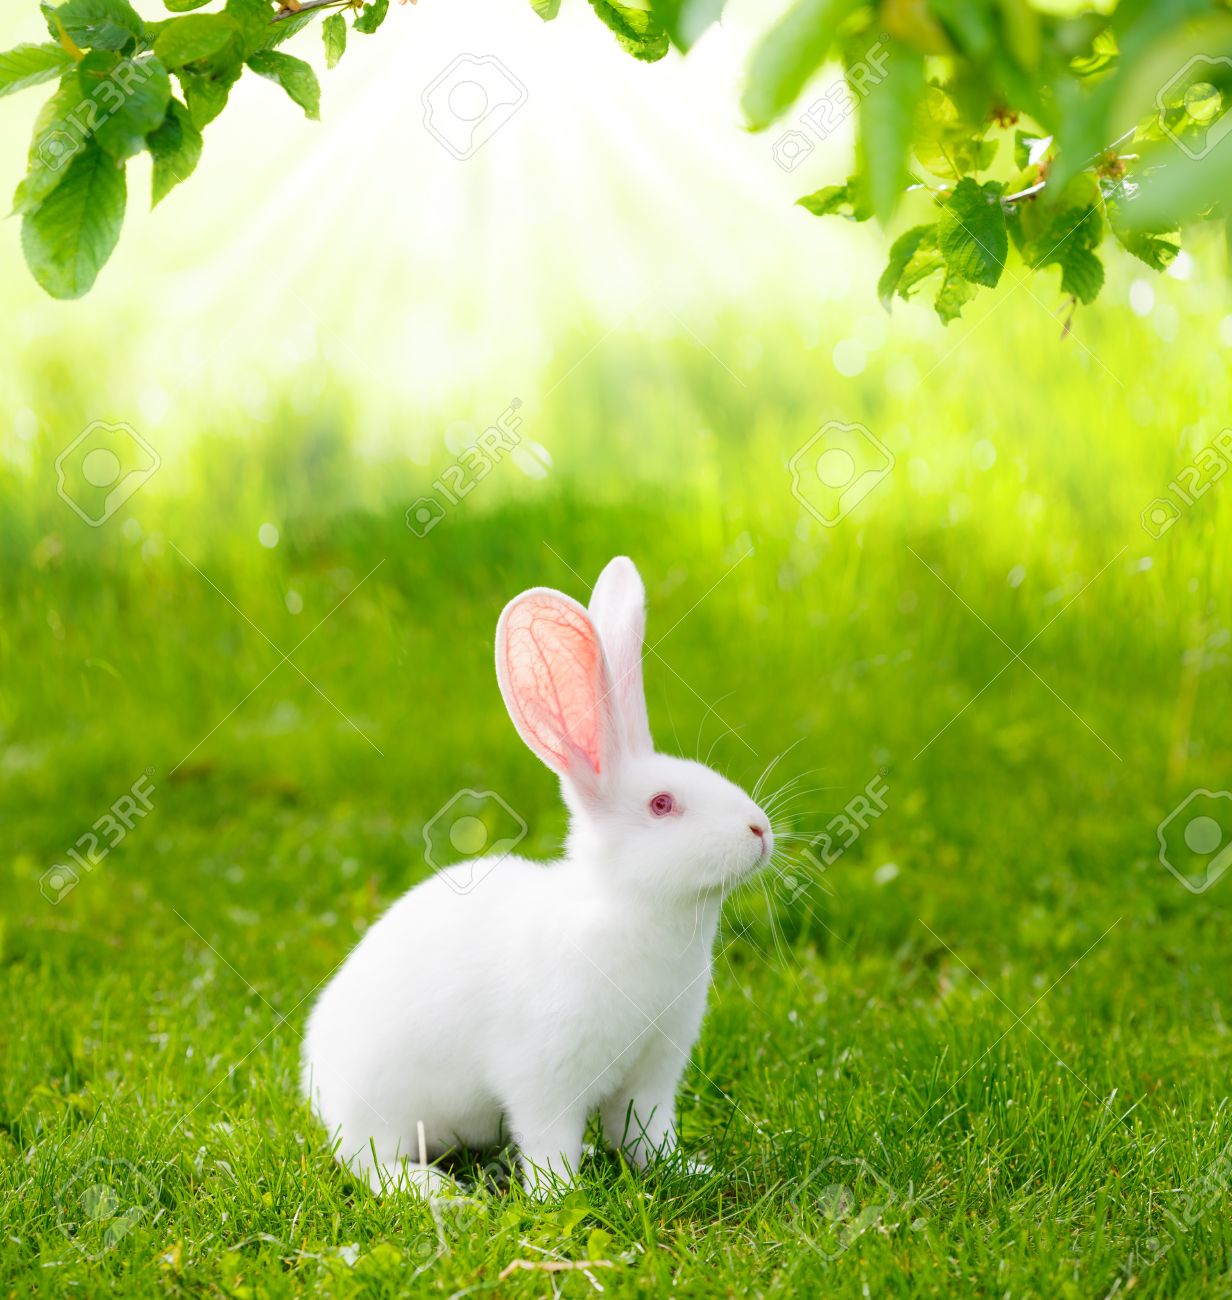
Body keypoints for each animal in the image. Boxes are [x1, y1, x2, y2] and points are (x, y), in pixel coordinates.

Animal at [301, 556, 774, 1195]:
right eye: (662, 805)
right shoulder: (544, 1079)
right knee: (368, 1161)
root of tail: (317, 1080)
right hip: (383, 1111)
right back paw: (443, 1196)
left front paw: (685, 1169)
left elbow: (644, 1137)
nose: (760, 830)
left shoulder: (652, 1075)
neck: (632, 911)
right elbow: (551, 1143)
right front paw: (561, 1196)